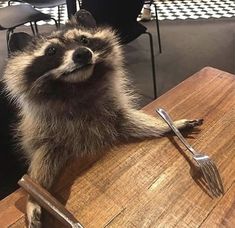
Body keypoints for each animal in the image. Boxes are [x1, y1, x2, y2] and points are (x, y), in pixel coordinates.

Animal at [2, 9, 202, 227]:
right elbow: (43, 157)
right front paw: (34, 197)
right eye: (51, 51)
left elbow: (129, 120)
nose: (82, 53)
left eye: (84, 39)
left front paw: (167, 125)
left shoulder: (111, 110)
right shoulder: (45, 130)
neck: (78, 87)